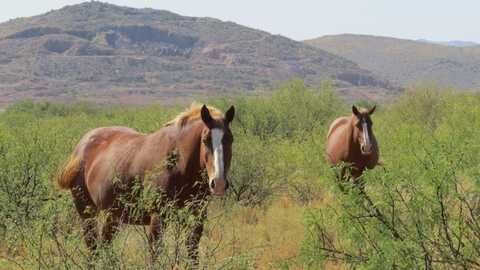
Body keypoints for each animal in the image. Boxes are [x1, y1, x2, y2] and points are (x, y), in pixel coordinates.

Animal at [57, 104, 235, 266]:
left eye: (230, 139)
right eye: (205, 140)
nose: (218, 183)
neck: (178, 162)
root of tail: (81, 147)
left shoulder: (197, 216)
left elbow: (192, 252)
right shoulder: (157, 218)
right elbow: (155, 253)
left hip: (112, 216)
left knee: (104, 245)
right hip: (87, 212)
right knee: (93, 246)